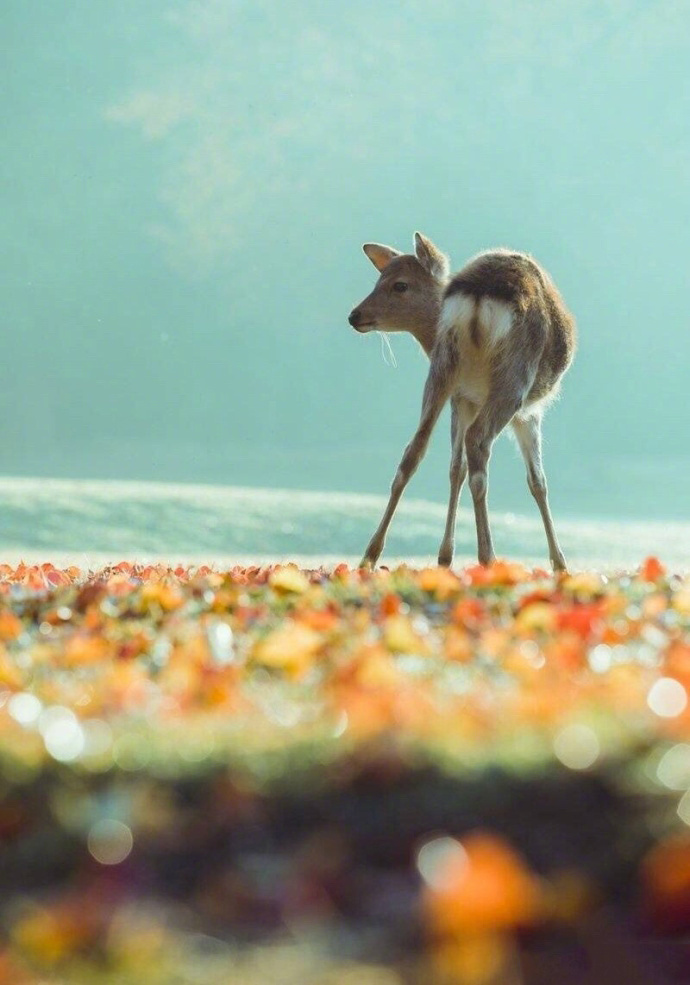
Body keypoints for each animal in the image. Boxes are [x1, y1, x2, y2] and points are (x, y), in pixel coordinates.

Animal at [346, 233, 572, 568]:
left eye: (399, 284)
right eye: (378, 281)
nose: (354, 315)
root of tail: (477, 298)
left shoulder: (461, 397)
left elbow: (455, 468)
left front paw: (444, 557)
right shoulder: (529, 412)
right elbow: (538, 481)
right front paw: (560, 564)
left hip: (443, 365)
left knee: (415, 448)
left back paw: (369, 556)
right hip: (514, 379)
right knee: (478, 445)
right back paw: (488, 556)